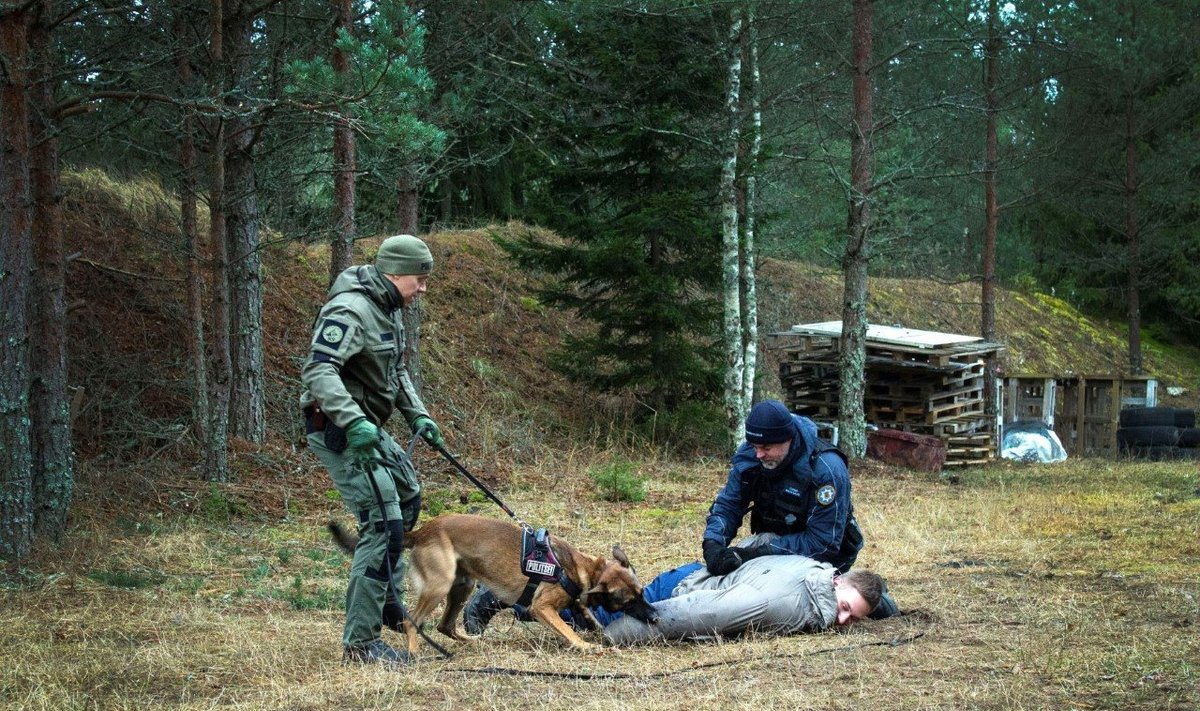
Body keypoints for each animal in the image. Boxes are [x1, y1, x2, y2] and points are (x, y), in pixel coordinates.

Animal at [331, 514, 657, 653]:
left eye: (642, 593)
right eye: (629, 601)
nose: (655, 617)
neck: (580, 569)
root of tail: (424, 529)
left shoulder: (576, 602)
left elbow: (588, 616)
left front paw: (597, 633)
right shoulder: (541, 608)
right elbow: (568, 629)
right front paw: (585, 646)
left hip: (462, 586)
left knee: (444, 625)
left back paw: (471, 641)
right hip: (439, 585)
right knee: (413, 622)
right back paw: (412, 654)